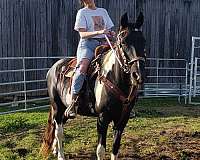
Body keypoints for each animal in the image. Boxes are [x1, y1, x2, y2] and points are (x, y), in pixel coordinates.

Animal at [40, 11, 146, 159]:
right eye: (123, 42)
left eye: (144, 41)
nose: (138, 75)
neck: (114, 78)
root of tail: (54, 67)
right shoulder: (102, 118)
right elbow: (100, 150)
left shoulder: (122, 120)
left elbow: (115, 147)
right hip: (57, 106)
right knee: (59, 131)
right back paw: (60, 155)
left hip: (64, 109)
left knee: (57, 127)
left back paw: (55, 150)